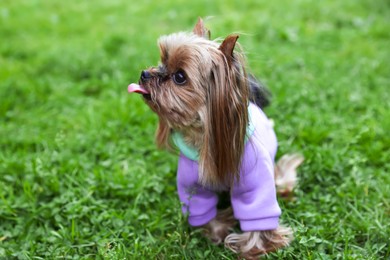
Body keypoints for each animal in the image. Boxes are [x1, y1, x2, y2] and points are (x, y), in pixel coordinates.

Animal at [126, 17, 304, 258]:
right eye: (162, 60)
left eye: (179, 77)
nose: (145, 74)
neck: (203, 137)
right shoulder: (192, 182)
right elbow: (201, 208)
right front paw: (218, 230)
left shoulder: (254, 176)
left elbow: (258, 213)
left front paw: (253, 249)